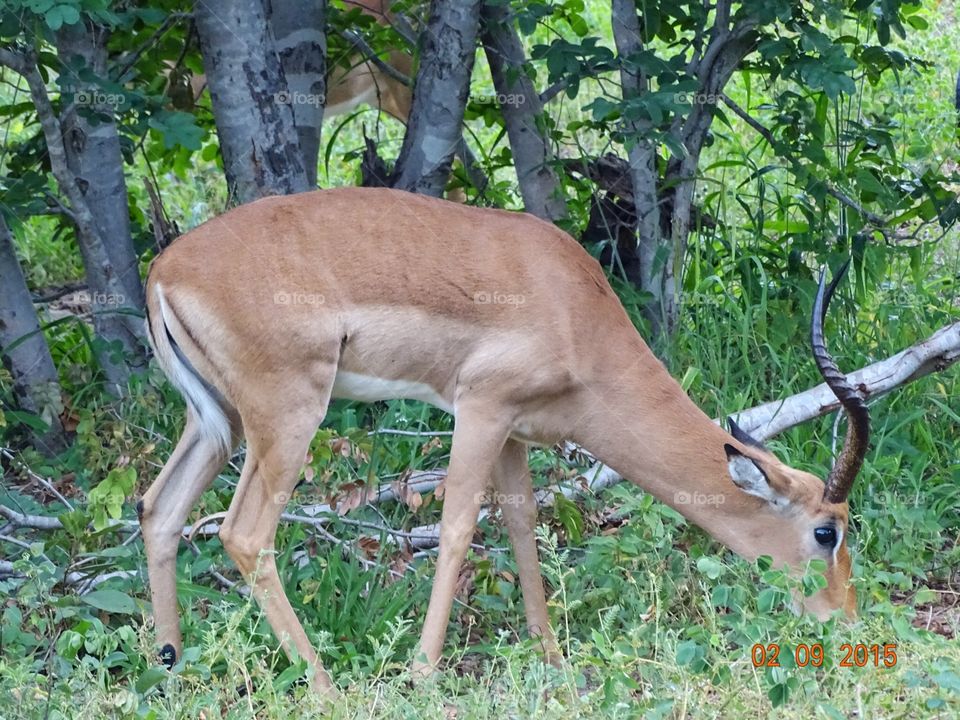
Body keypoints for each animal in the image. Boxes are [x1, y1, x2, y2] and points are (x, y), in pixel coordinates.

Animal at [139, 187, 867, 697]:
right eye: (826, 532)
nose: (844, 621)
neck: (575, 312)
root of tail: (163, 271)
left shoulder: (515, 430)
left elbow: (521, 522)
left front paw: (552, 657)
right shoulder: (481, 409)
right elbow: (459, 526)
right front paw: (423, 675)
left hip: (218, 423)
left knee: (158, 510)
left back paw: (171, 669)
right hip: (287, 417)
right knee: (243, 532)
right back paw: (324, 688)